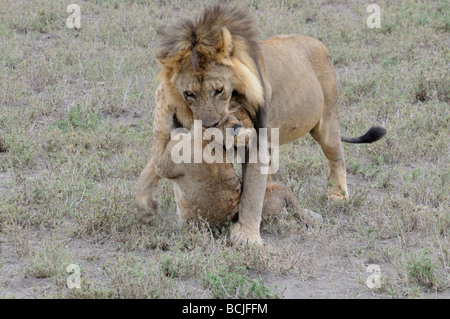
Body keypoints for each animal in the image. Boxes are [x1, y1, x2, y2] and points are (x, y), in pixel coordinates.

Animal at [135, 3, 384, 246]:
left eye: (219, 90)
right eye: (189, 94)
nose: (209, 124)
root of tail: (317, 42)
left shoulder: (255, 139)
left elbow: (252, 192)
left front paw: (247, 236)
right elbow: (158, 158)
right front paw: (145, 199)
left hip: (326, 122)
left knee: (336, 157)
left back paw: (338, 195)